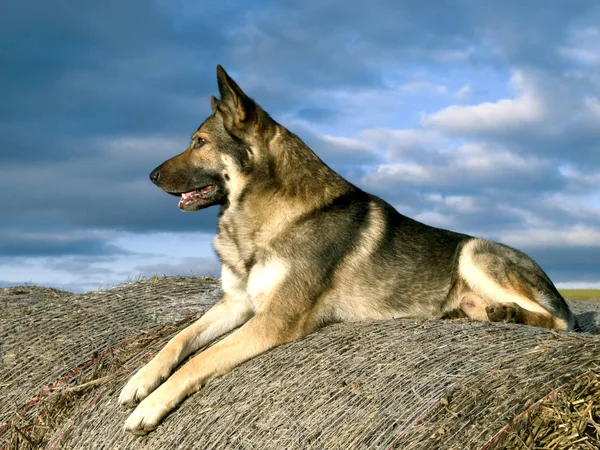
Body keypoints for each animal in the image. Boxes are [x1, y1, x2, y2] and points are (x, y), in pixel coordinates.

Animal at [118, 65, 576, 434]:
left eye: (199, 142)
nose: (150, 175)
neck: (265, 213)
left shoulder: (274, 320)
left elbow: (200, 358)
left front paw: (151, 407)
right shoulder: (238, 303)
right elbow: (179, 339)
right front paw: (139, 381)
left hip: (474, 253)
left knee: (560, 322)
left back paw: (510, 313)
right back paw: (489, 313)